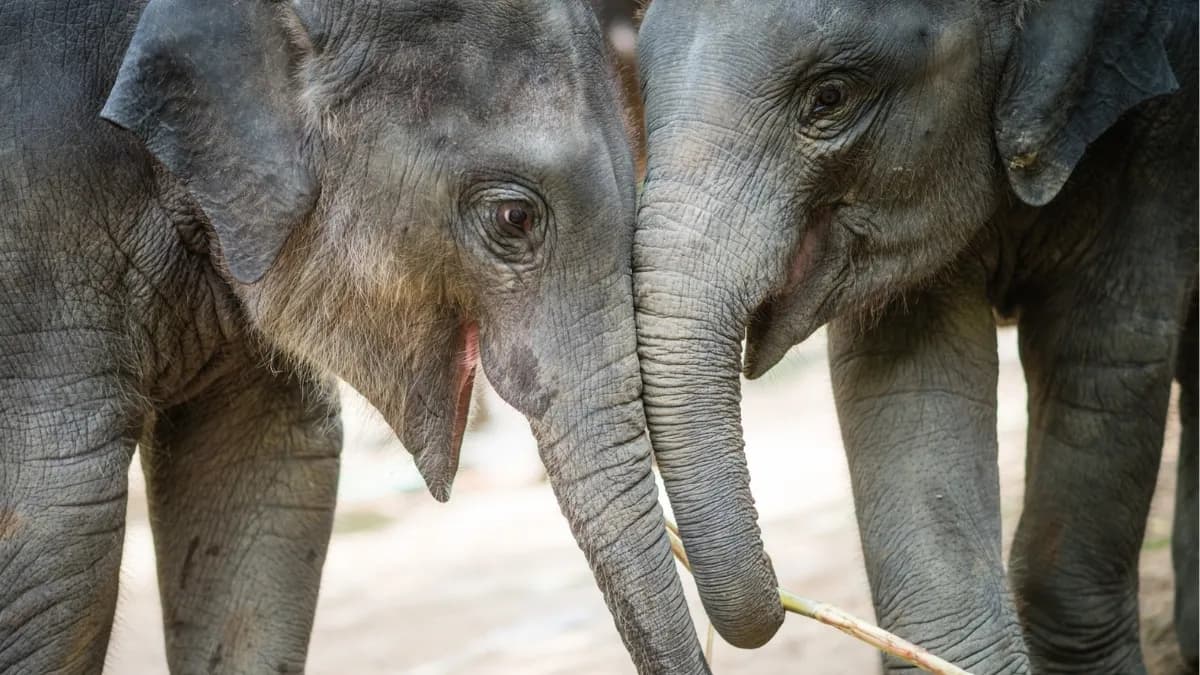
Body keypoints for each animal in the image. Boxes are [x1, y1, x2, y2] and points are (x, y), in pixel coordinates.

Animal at [633, 0, 1197, 673]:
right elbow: (910, 386)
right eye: (641, 86)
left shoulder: (1162, 134)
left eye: (830, 96)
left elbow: (1104, 361)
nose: (778, 587)